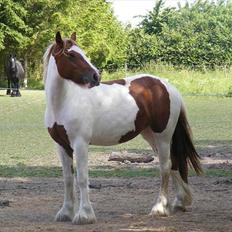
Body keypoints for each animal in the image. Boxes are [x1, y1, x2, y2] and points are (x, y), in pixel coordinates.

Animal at [43, 32, 201, 225]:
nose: (96, 76)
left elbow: (81, 178)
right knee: (174, 164)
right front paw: (65, 212)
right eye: (71, 55)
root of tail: (167, 86)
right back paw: (179, 202)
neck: (63, 103)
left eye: (83, 53)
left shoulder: (80, 144)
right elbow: (67, 179)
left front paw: (84, 215)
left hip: (163, 136)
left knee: (165, 167)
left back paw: (159, 208)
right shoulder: (62, 145)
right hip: (150, 135)